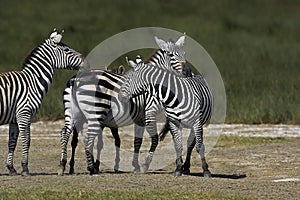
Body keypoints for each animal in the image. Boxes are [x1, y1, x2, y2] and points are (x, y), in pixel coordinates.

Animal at [0, 28, 84, 176]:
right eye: (67, 50)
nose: (86, 59)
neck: (33, 81)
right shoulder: (24, 114)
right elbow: (26, 140)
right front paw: (25, 168)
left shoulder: (14, 118)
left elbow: (12, 142)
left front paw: (11, 168)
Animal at [58, 34, 193, 175]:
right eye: (172, 55)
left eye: (184, 54)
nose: (188, 72)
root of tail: (75, 80)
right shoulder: (148, 113)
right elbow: (154, 139)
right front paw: (144, 165)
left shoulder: (139, 118)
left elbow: (137, 141)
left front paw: (135, 165)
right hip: (95, 113)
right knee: (87, 138)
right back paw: (90, 168)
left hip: (73, 112)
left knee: (65, 133)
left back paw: (63, 165)